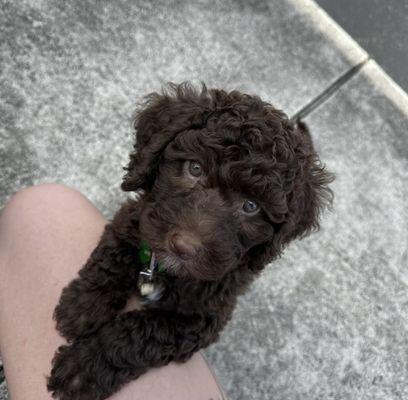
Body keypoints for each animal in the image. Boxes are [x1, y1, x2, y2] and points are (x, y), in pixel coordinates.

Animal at [46, 82, 334, 400]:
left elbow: (142, 331)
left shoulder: (202, 318)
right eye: (194, 168)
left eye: (251, 206)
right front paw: (82, 307)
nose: (182, 247)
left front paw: (81, 369)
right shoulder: (135, 219)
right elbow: (111, 257)